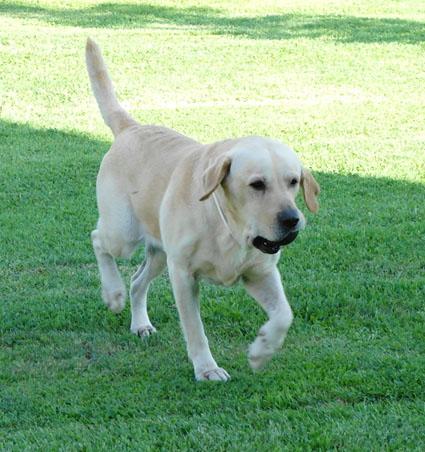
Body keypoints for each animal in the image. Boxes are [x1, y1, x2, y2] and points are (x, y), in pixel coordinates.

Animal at [85, 38, 318, 382]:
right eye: (257, 184)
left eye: (293, 181)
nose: (292, 220)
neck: (229, 230)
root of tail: (131, 128)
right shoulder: (183, 275)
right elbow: (195, 328)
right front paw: (207, 368)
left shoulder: (261, 273)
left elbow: (284, 315)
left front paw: (261, 351)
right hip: (123, 233)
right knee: (99, 240)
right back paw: (113, 294)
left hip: (160, 252)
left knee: (138, 280)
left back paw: (140, 324)